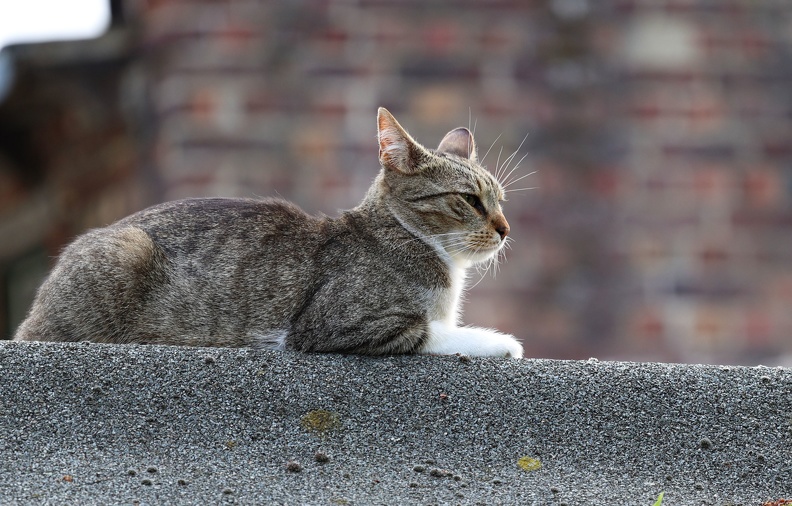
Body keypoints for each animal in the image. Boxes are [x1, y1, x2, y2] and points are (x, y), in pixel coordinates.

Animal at [15, 108, 524, 358]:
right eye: (471, 200)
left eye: (501, 200)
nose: (504, 228)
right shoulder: (333, 324)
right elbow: (432, 332)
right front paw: (503, 343)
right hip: (124, 251)